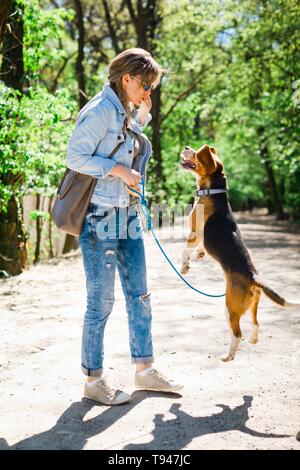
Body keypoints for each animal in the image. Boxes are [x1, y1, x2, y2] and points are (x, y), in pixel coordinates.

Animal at [179, 145, 298, 362]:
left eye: (195, 153)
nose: (186, 147)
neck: (214, 191)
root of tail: (253, 276)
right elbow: (199, 248)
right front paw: (200, 255)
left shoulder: (194, 232)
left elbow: (185, 249)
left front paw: (185, 266)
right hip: (252, 305)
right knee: (256, 324)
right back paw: (253, 340)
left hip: (230, 307)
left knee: (237, 333)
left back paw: (228, 356)